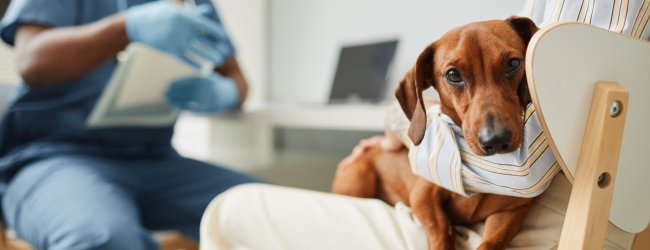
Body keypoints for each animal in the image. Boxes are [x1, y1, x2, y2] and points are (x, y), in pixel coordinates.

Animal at [332, 16, 540, 249]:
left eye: (513, 63)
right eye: (453, 75)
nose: (495, 140)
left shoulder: (512, 211)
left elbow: (491, 242)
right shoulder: (423, 196)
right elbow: (441, 229)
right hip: (360, 179)